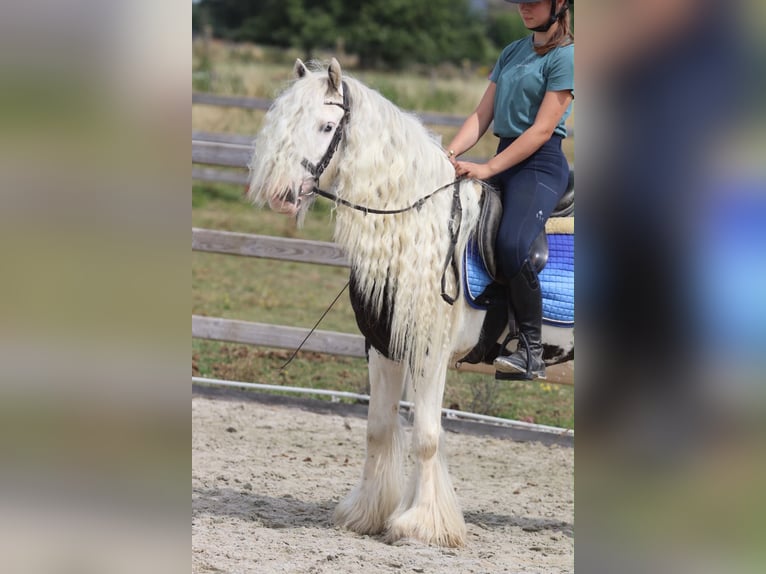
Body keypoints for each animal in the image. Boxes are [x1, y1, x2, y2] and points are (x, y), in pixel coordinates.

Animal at [248, 58, 574, 547]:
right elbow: (379, 429)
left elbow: (426, 435)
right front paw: (367, 514)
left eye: (327, 126)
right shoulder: (382, 347)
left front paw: (422, 524)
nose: (281, 196)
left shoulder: (430, 351)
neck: (416, 229)